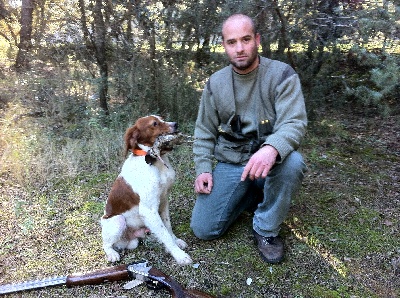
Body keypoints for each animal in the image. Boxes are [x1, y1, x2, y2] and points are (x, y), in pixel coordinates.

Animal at [101, 116, 193, 266]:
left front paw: (176, 241)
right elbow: (165, 234)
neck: (156, 162)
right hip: (118, 220)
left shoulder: (164, 201)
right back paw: (112, 254)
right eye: (154, 124)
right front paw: (179, 255)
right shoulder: (148, 210)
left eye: (162, 118)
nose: (176, 124)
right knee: (106, 244)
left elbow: (167, 227)